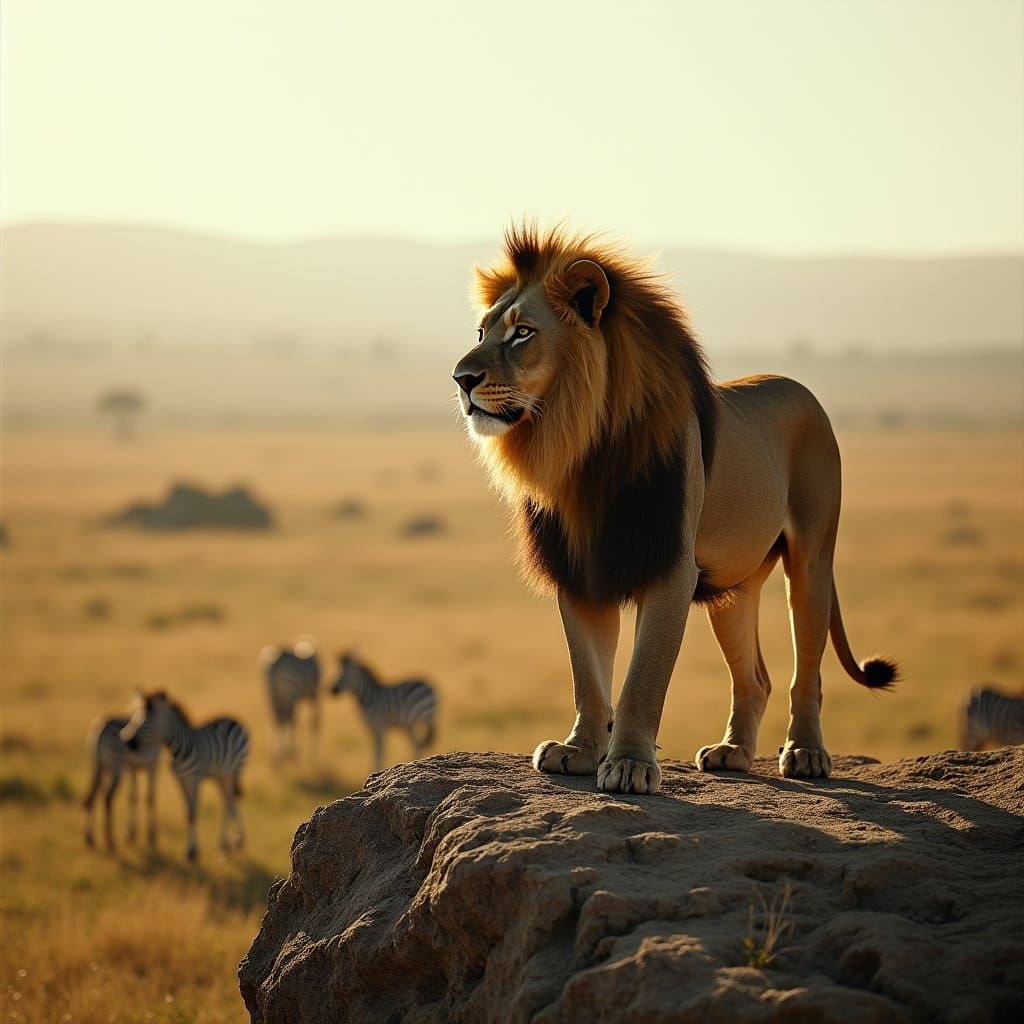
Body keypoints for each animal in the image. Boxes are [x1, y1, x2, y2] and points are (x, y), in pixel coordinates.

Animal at [452, 224, 896, 795]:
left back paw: (805, 753)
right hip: (735, 588)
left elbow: (643, 679)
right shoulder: (580, 569)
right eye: (481, 332)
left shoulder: (670, 565)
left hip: (812, 561)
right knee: (755, 678)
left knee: (807, 673)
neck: (578, 449)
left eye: (522, 333)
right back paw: (732, 753)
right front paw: (578, 751)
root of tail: (797, 386)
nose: (460, 378)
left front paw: (629, 765)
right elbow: (587, 677)